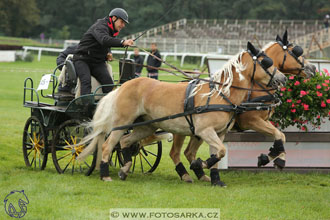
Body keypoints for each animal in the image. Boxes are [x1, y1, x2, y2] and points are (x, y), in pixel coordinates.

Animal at [76, 41, 286, 184]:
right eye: (266, 62)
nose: (283, 78)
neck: (221, 95)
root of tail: (123, 86)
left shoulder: (219, 133)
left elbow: (219, 153)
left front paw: (215, 179)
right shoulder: (205, 131)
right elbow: (220, 151)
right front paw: (200, 165)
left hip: (146, 126)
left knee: (126, 142)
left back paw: (125, 169)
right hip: (122, 123)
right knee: (107, 146)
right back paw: (105, 175)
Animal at [169, 29, 316, 184]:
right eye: (296, 51)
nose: (313, 68)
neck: (256, 87)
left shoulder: (263, 120)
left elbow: (280, 136)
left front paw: (272, 158)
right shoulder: (251, 121)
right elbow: (278, 134)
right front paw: (274, 159)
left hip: (198, 131)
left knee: (189, 152)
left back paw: (201, 173)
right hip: (181, 130)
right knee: (175, 153)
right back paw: (186, 174)